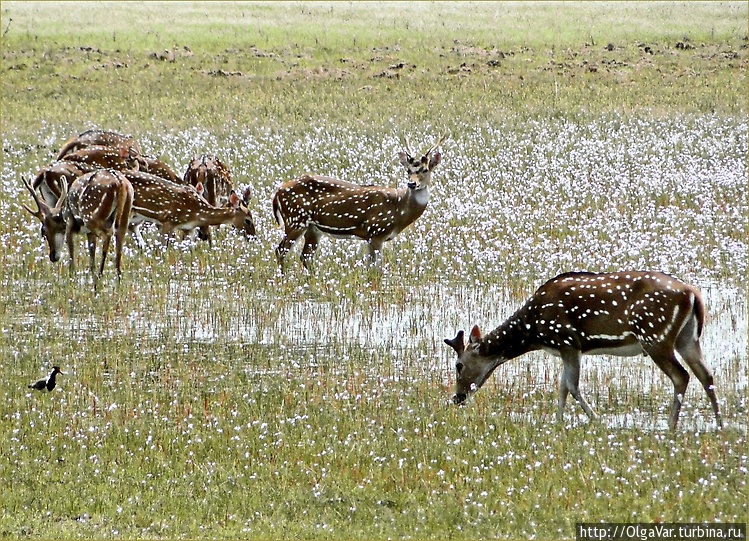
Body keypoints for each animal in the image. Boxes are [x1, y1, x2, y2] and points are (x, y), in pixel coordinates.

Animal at [270, 135, 442, 270]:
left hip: (312, 228)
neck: (398, 209)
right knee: (281, 250)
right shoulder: (376, 231)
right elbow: (374, 269)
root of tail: (277, 192)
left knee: (305, 256)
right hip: (295, 219)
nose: (412, 183)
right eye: (408, 171)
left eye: (425, 170)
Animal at [444, 270, 724, 430]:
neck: (533, 332)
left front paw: (596, 420)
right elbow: (562, 386)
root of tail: (693, 294)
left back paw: (671, 426)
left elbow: (571, 385)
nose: (457, 398)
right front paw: (558, 422)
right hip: (687, 338)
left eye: (458, 365)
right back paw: (719, 424)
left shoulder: (569, 341)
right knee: (706, 374)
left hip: (655, 335)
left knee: (682, 376)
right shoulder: (565, 349)